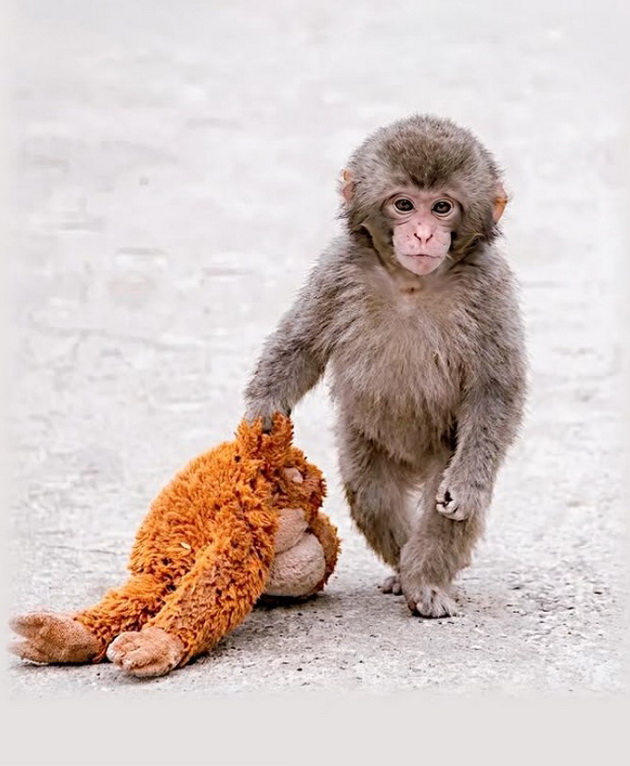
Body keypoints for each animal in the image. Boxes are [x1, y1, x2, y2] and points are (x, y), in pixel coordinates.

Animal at [244, 114, 527, 618]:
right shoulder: (337, 269)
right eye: (403, 204)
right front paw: (262, 410)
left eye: (442, 207)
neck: (412, 281)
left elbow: (494, 389)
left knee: (440, 503)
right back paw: (403, 567)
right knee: (372, 495)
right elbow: (301, 345)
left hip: (444, 447)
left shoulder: (489, 286)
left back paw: (425, 580)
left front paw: (465, 488)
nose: (422, 234)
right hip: (367, 440)